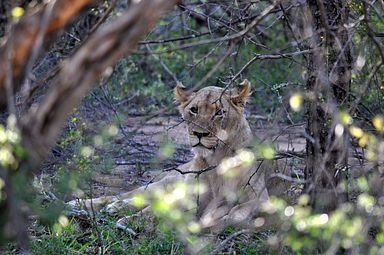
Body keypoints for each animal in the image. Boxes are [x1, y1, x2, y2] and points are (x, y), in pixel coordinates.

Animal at [68, 79, 288, 231]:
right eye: (194, 110)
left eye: (219, 112)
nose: (199, 134)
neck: (217, 159)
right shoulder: (191, 194)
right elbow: (156, 209)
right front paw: (130, 222)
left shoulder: (261, 199)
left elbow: (237, 212)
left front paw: (213, 222)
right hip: (169, 182)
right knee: (127, 195)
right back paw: (93, 205)